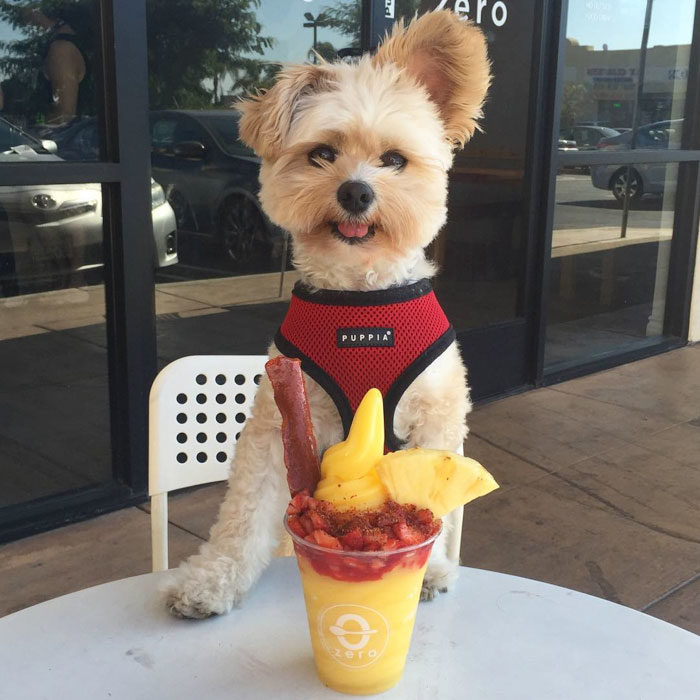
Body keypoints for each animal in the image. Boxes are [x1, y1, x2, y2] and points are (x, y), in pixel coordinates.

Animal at [166, 10, 490, 616]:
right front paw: (213, 578)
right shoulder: (282, 419)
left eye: (394, 160)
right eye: (322, 153)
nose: (356, 192)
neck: (359, 302)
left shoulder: (436, 415)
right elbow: (245, 510)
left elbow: (434, 491)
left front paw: (431, 568)